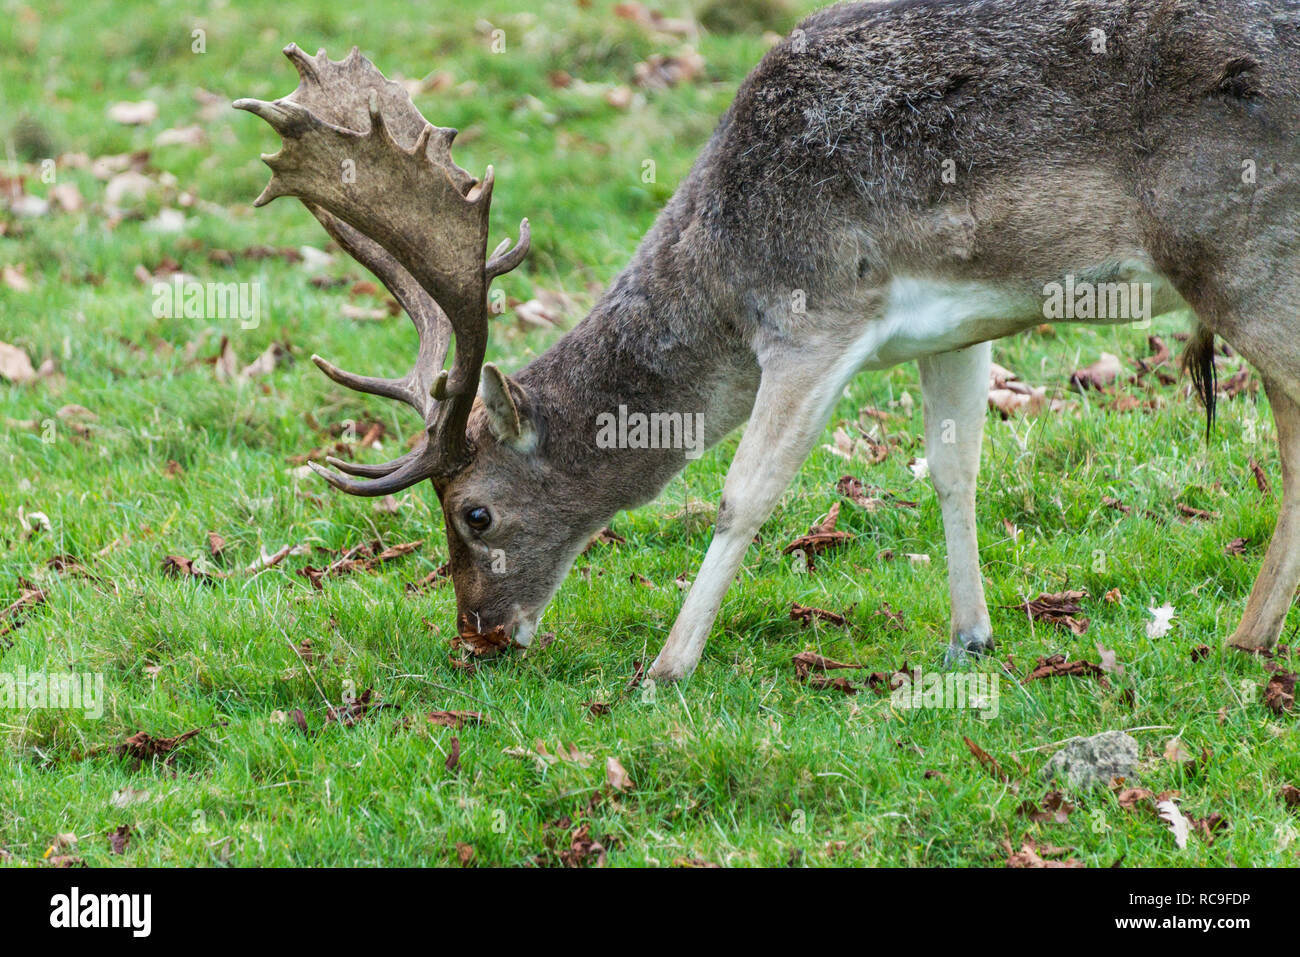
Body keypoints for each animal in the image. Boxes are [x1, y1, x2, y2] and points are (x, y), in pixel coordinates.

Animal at [236, 0, 1300, 683]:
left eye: (476, 513)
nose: (479, 635)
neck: (723, 261)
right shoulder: (960, 323)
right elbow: (953, 468)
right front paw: (970, 637)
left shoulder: (813, 314)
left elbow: (743, 495)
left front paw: (666, 667)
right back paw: (1251, 635)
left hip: (1239, 252)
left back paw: (1247, 640)